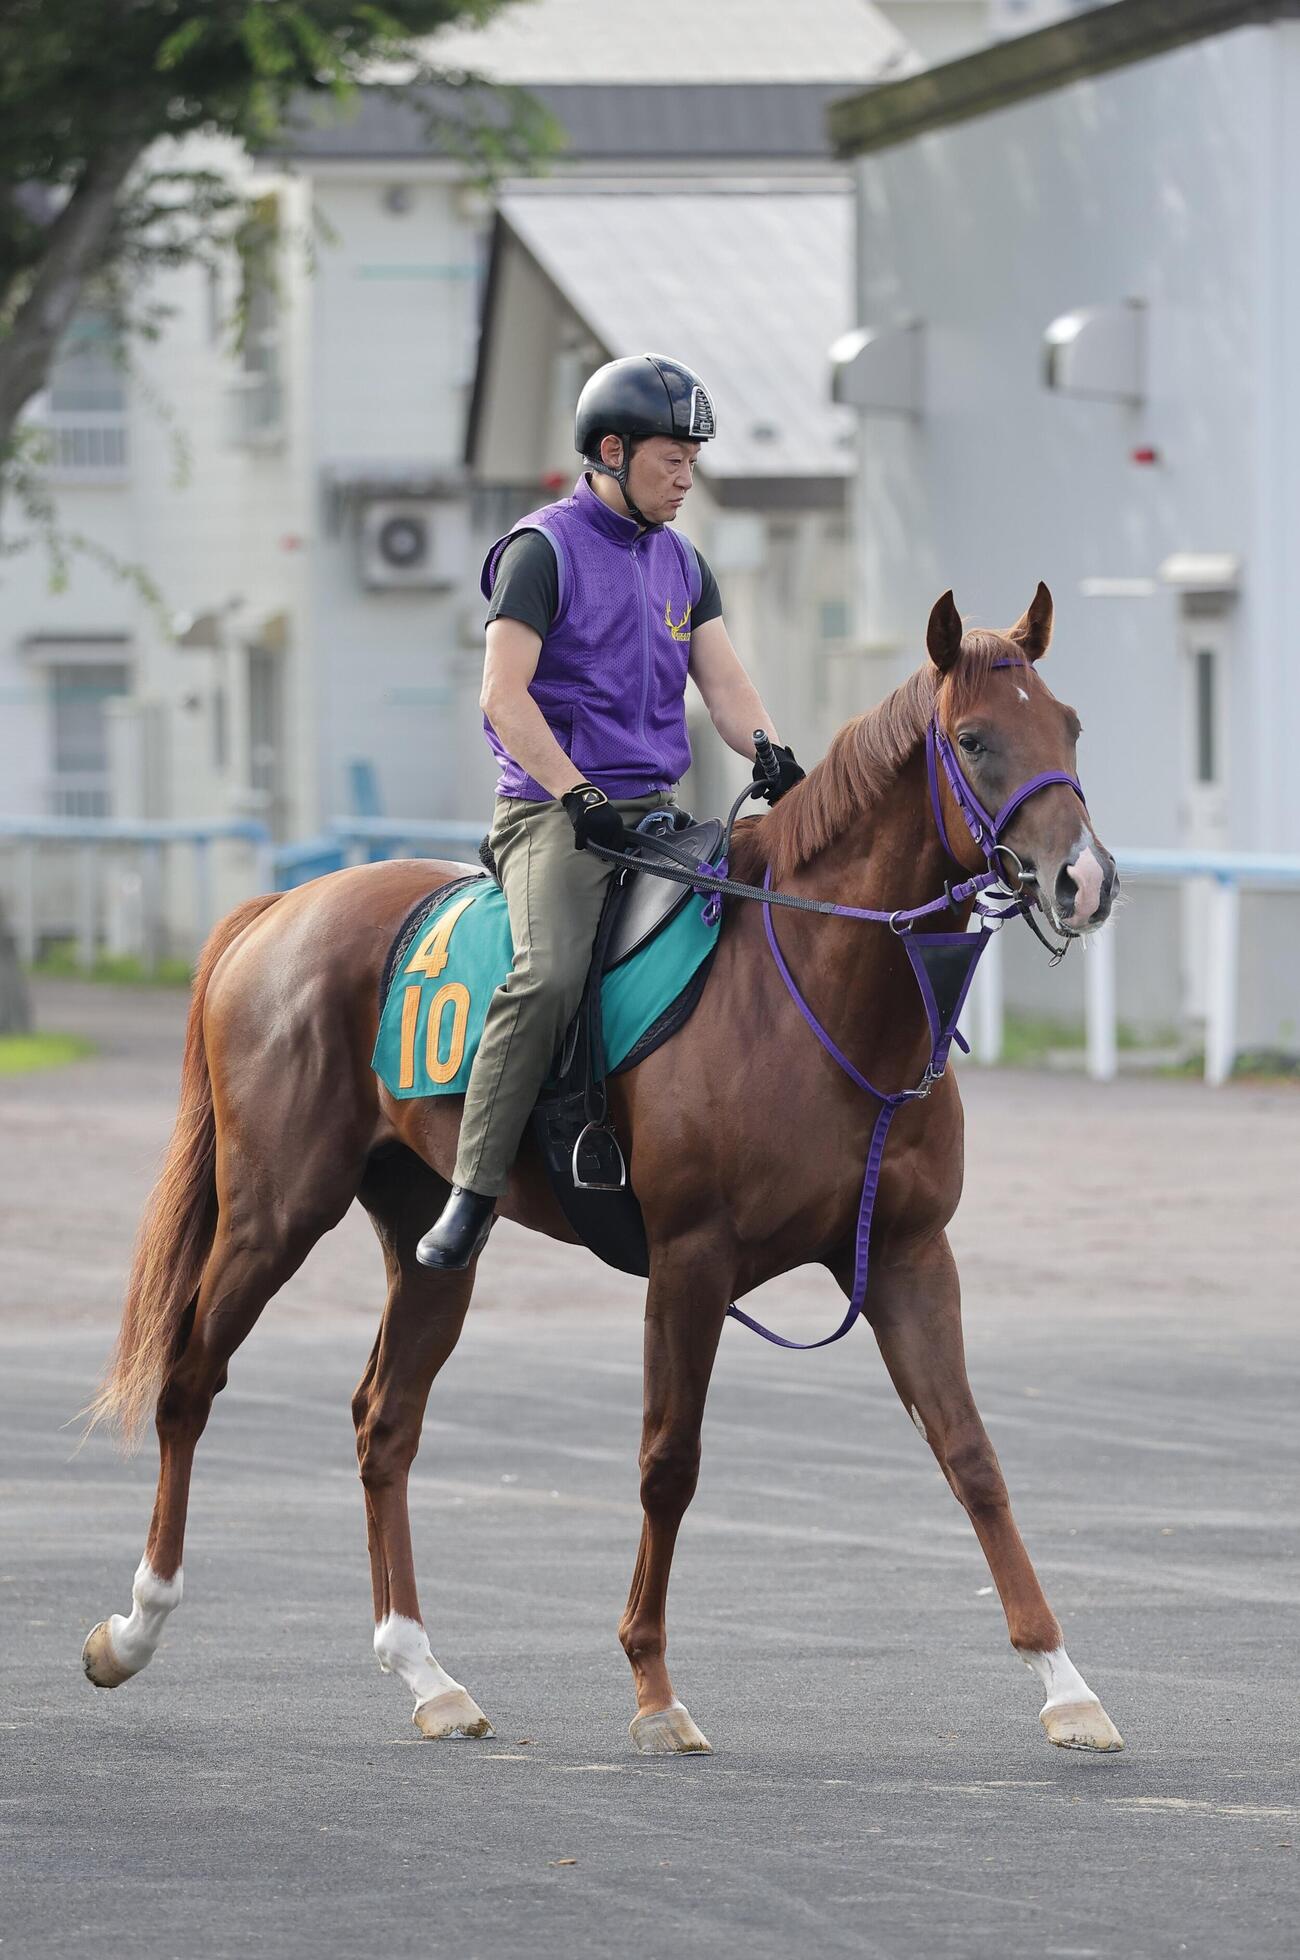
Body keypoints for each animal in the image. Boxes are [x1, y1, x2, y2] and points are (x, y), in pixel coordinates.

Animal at [81, 584, 1124, 1756]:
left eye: (1069, 727)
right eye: (974, 740)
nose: (1083, 879)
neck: (815, 987)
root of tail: (279, 912)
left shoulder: (906, 1257)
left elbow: (971, 1456)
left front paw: (1064, 1682)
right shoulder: (690, 1263)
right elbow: (669, 1464)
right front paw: (654, 1688)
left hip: (431, 1241)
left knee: (383, 1421)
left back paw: (427, 1672)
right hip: (272, 1215)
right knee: (189, 1381)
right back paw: (136, 1627)